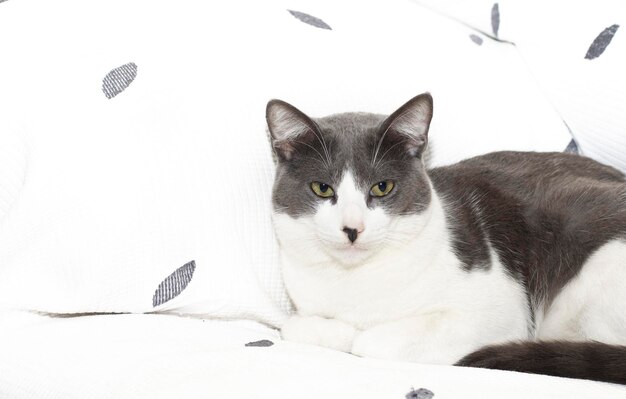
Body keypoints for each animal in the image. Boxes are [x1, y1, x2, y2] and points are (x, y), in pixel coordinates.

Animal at [264, 93, 624, 384]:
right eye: (322, 188)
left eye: (382, 187)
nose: (353, 228)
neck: (352, 280)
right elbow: (293, 325)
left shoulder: (499, 314)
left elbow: (368, 340)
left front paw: (346, 333)